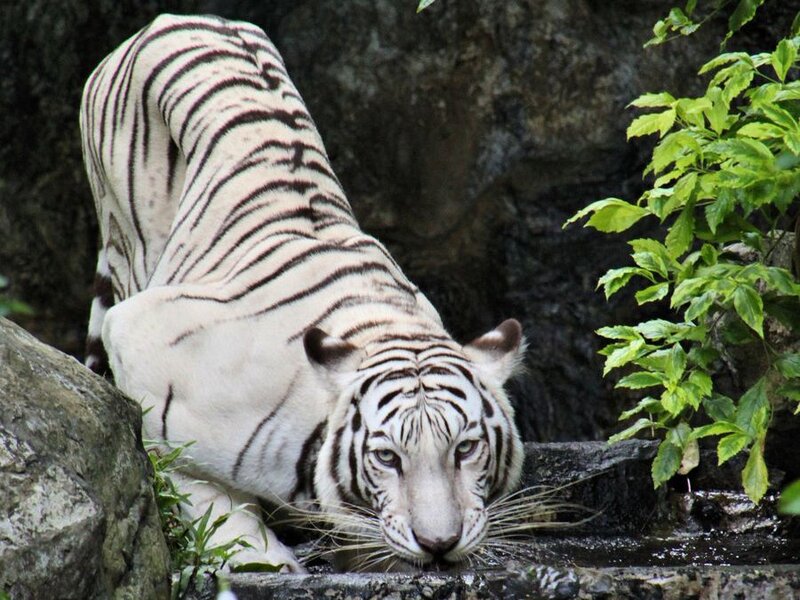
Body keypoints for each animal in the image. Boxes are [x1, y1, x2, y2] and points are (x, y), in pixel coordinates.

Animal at [80, 14, 527, 573]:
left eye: (465, 449)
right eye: (387, 458)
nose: (439, 544)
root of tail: (174, 19)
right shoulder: (140, 337)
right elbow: (186, 473)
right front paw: (256, 556)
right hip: (130, 241)